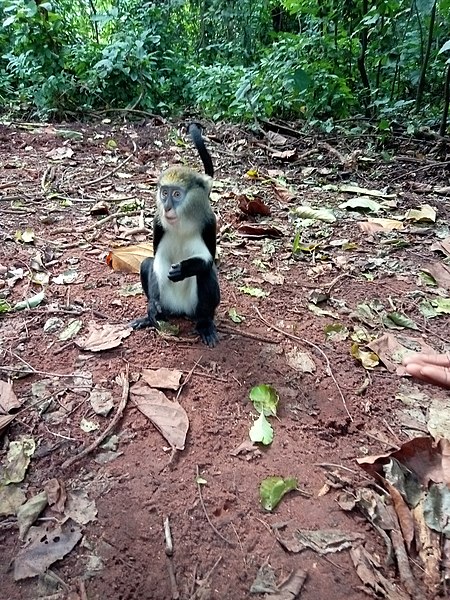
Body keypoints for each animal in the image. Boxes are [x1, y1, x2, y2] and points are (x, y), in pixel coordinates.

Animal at [131, 123, 221, 346]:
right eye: (164, 193)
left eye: (177, 194)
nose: (167, 207)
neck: (182, 222)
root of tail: (180, 310)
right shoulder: (158, 224)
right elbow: (158, 260)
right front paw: (152, 307)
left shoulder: (209, 224)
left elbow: (207, 261)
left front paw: (184, 269)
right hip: (168, 302)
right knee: (146, 263)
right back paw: (152, 317)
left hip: (193, 307)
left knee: (206, 273)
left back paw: (205, 324)